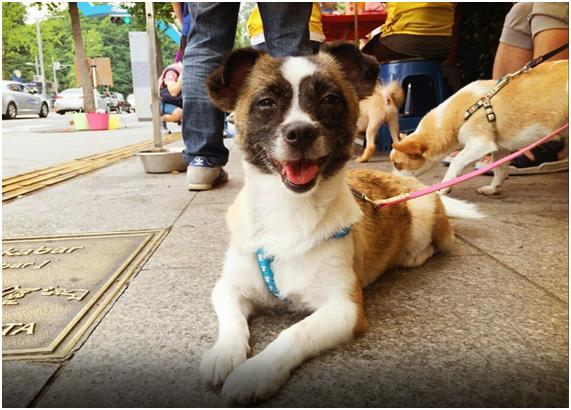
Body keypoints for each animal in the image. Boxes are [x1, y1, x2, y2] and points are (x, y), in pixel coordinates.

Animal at [201, 42, 482, 404]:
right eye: (265, 102)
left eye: (330, 98)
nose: (301, 132)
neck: (290, 210)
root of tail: (412, 182)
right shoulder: (228, 287)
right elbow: (232, 320)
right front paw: (225, 353)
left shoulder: (345, 309)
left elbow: (294, 333)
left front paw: (256, 371)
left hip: (420, 211)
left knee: (435, 245)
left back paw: (412, 255)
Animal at [392, 60, 568, 196]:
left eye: (397, 165)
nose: (391, 179)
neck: (462, 113)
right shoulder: (500, 147)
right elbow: (500, 169)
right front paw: (493, 188)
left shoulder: (480, 144)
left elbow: (456, 161)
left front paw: (444, 187)